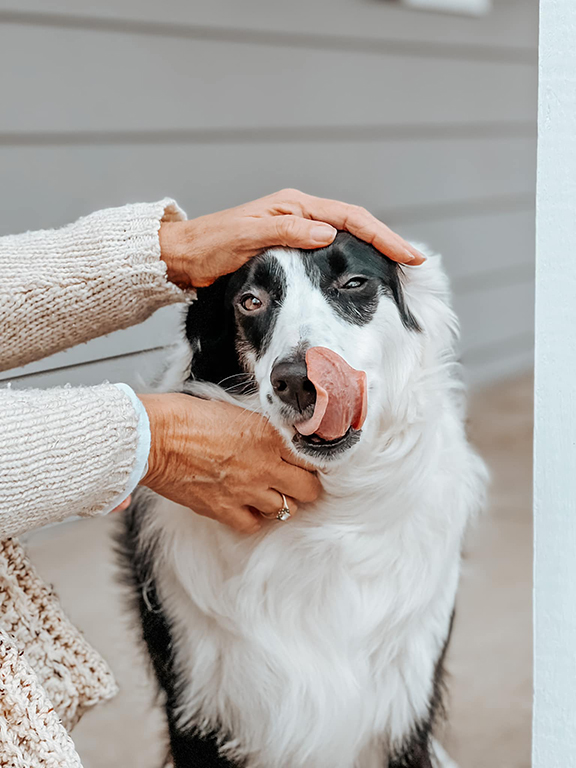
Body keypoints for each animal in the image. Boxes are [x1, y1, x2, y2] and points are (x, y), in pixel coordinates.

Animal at [120, 232, 486, 768]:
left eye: (353, 283)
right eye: (251, 301)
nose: (297, 380)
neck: (327, 516)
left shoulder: (404, 710)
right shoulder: (201, 707)